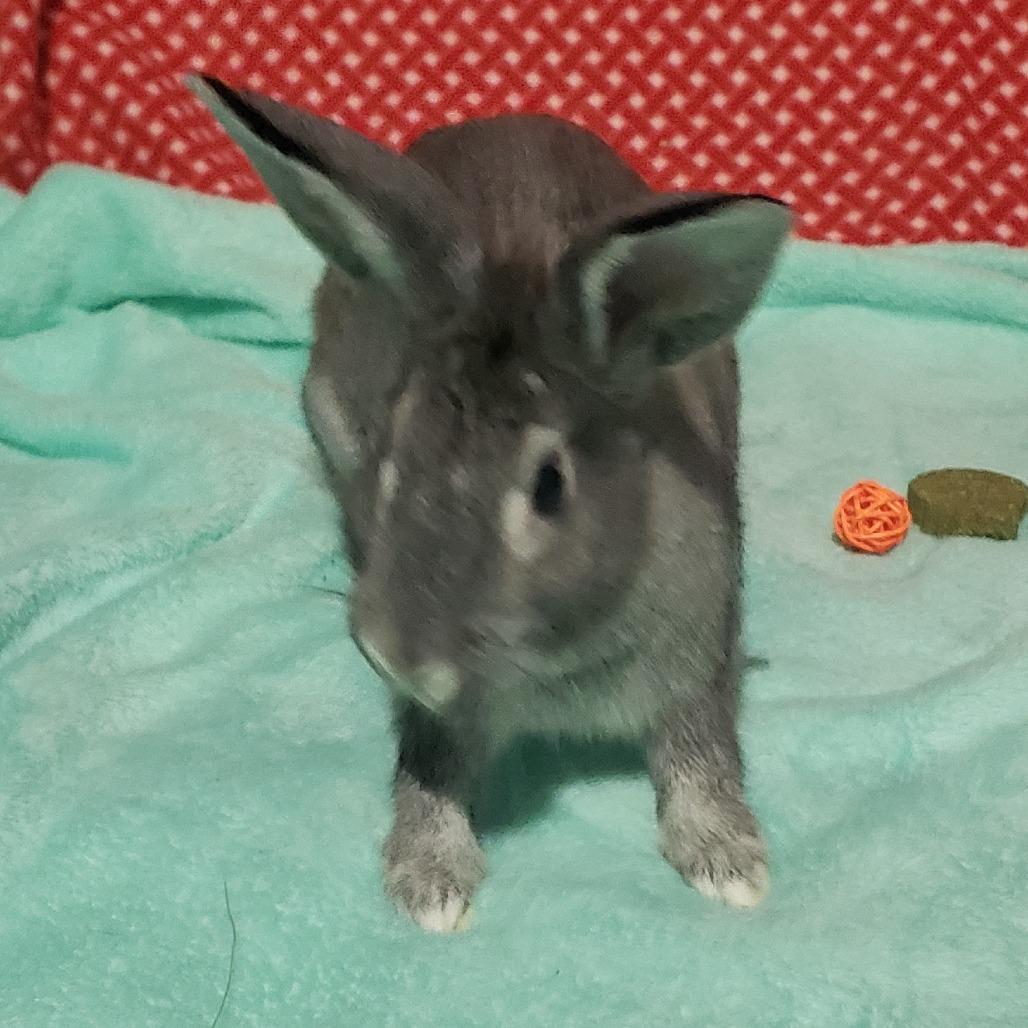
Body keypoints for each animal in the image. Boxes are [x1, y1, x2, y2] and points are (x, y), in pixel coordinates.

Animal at [188, 74, 792, 933]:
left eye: (550, 486)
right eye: (394, 446)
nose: (396, 656)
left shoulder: (698, 661)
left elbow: (702, 755)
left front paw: (730, 865)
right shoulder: (442, 715)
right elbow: (430, 768)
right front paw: (432, 884)